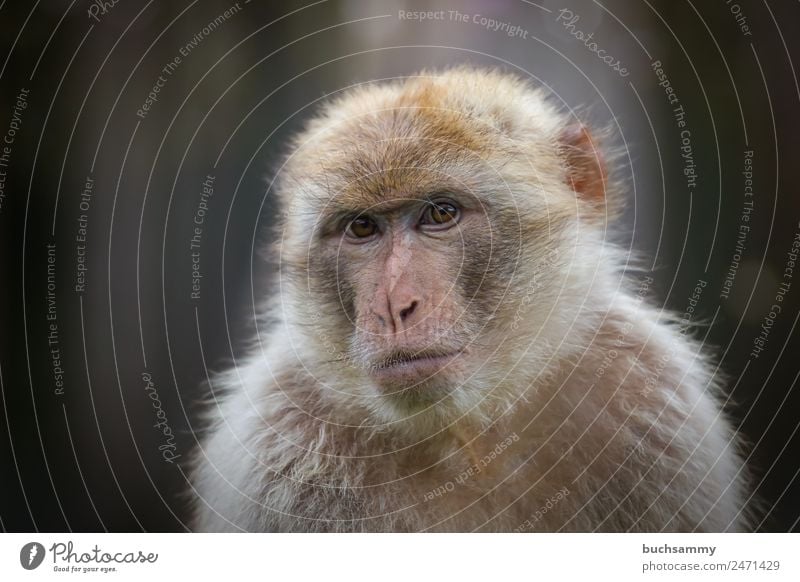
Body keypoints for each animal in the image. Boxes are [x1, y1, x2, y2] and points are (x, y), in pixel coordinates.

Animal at [188, 67, 752, 532]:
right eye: (362, 227)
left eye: (440, 213)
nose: (393, 307)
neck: (468, 438)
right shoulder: (273, 450)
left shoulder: (654, 405)